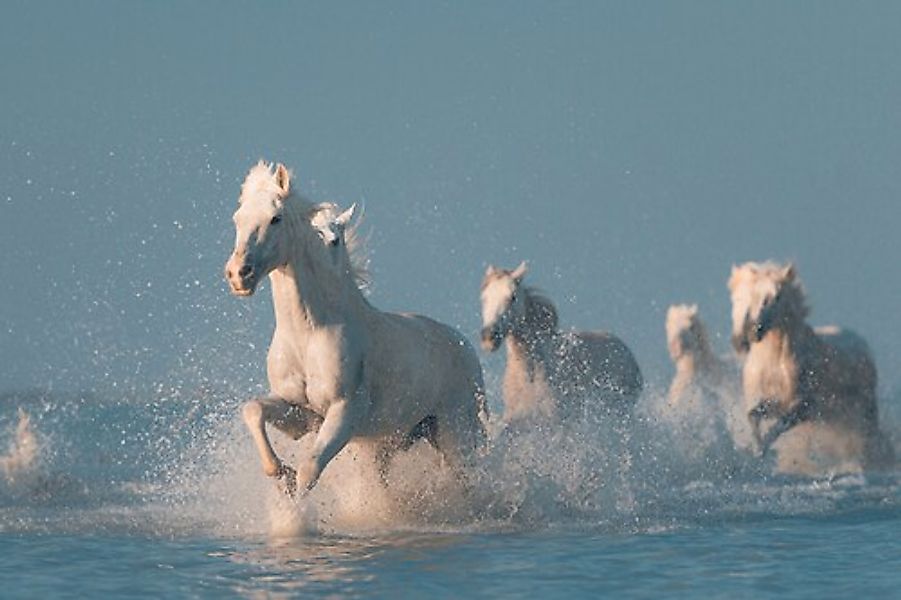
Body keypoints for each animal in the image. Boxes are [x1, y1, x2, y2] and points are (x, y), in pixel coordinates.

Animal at [227, 159, 492, 496]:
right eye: (238, 218)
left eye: (275, 218)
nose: (238, 274)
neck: (309, 333)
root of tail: (464, 345)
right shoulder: (301, 413)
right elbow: (253, 410)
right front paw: (280, 473)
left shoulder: (345, 412)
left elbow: (309, 471)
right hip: (391, 442)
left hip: (455, 431)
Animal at [728, 262, 888, 474]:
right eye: (751, 296)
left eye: (777, 296)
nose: (755, 331)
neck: (773, 362)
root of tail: (860, 341)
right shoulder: (772, 401)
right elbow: (753, 415)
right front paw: (757, 451)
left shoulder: (803, 406)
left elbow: (779, 425)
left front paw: (763, 450)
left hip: (863, 410)